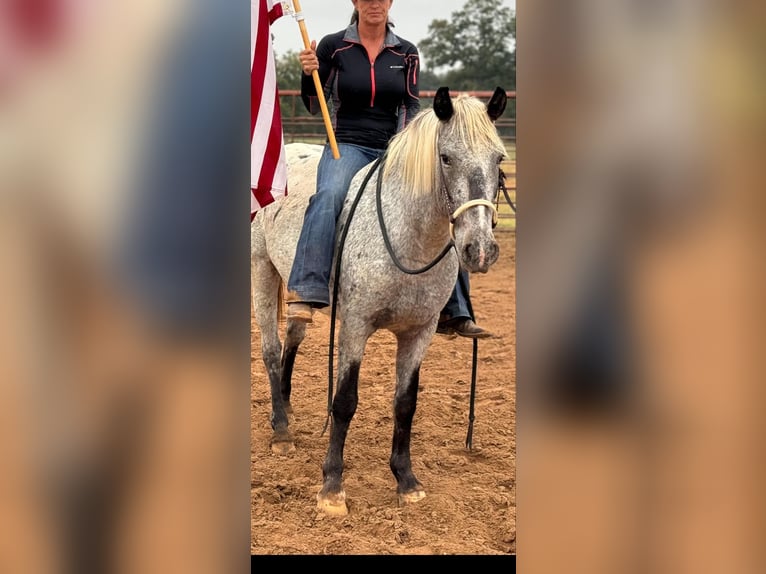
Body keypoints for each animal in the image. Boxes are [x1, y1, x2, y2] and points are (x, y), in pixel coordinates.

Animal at [251, 87, 508, 516]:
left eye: (499, 159)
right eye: (446, 157)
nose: (480, 249)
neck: (408, 239)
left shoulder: (419, 333)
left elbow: (406, 403)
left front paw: (406, 481)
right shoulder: (356, 326)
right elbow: (344, 401)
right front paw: (332, 487)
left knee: (292, 340)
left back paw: (285, 409)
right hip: (262, 269)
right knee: (271, 349)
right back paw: (282, 431)